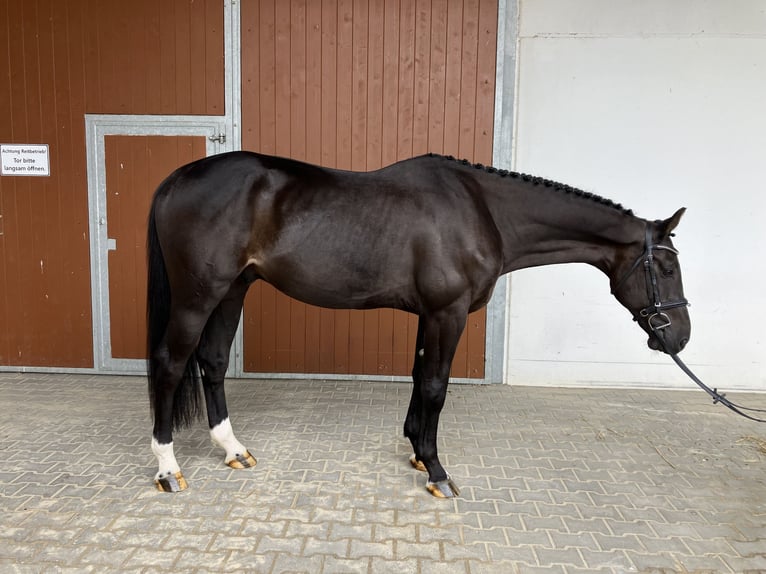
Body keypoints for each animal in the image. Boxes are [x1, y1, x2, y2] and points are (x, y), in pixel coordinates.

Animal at [147, 151, 692, 498]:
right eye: (666, 267)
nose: (680, 336)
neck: (484, 211)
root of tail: (178, 178)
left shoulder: (428, 314)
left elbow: (418, 376)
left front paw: (414, 449)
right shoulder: (447, 312)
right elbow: (436, 386)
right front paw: (436, 470)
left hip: (233, 289)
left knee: (213, 361)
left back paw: (232, 449)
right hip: (199, 295)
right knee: (170, 365)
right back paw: (168, 469)